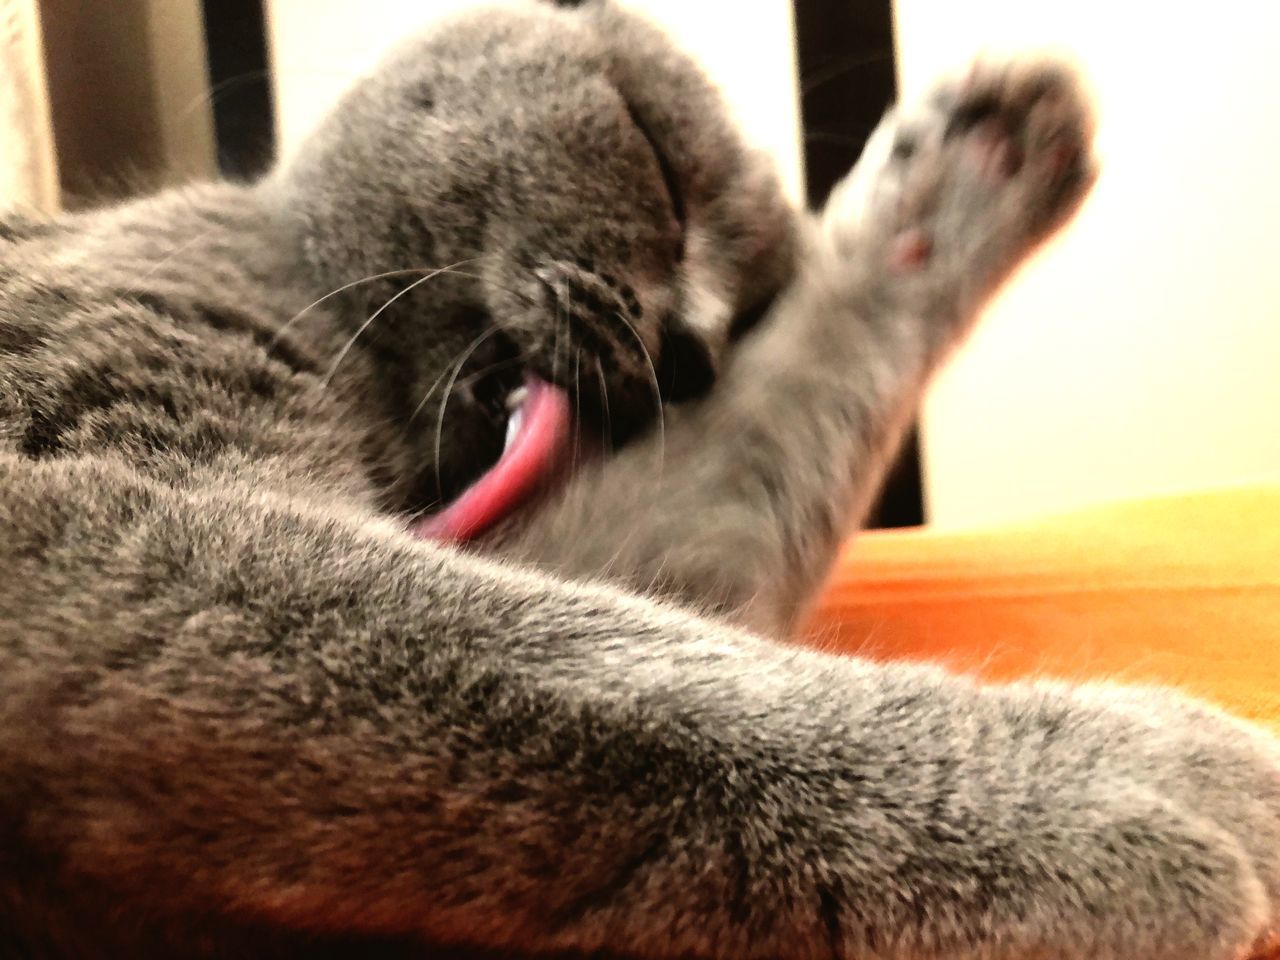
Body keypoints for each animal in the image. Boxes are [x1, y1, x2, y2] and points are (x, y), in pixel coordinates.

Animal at [2, 0, 1280, 957]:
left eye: (752, 301)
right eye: (660, 174)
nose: (691, 350)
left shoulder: (584, 538)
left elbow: (730, 509)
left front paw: (969, 170)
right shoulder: (110, 514)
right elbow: (636, 682)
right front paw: (1168, 775)